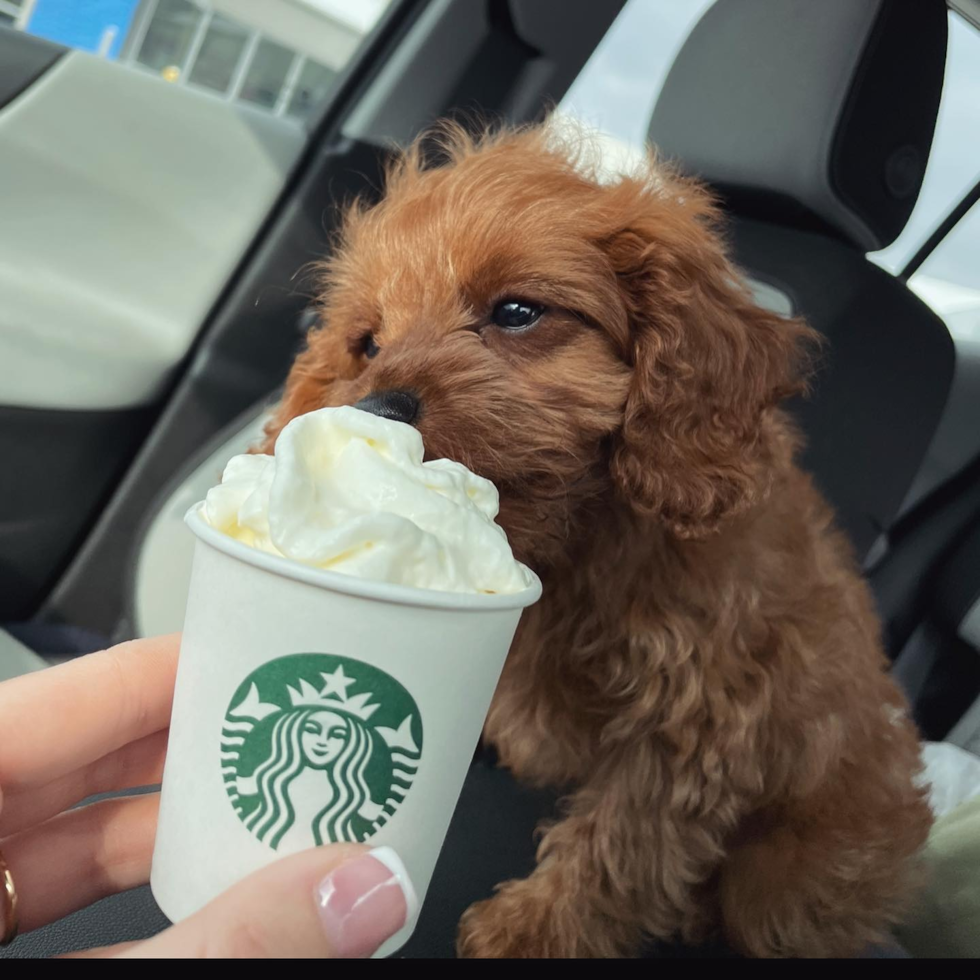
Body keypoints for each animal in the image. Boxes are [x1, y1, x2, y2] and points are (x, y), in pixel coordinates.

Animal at [260, 122, 936, 956]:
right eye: (368, 342)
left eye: (518, 311)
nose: (377, 407)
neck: (577, 542)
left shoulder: (698, 720)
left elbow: (624, 842)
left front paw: (536, 929)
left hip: (787, 876)